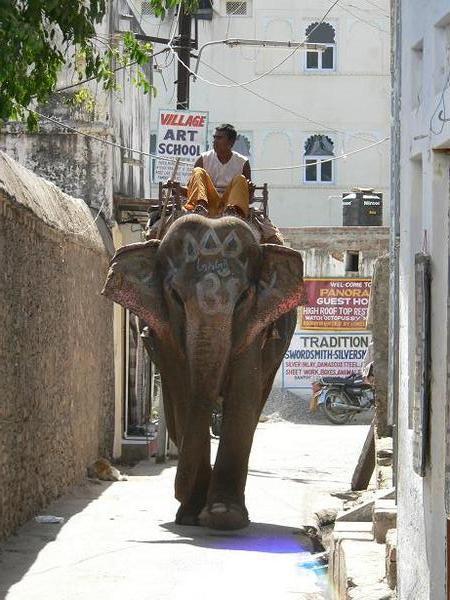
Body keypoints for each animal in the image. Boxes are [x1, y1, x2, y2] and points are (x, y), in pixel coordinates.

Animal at [102, 214, 306, 528]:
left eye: (244, 296)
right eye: (175, 295)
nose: (179, 494)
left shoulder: (254, 327)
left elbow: (244, 391)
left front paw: (223, 515)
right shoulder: (166, 334)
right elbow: (184, 393)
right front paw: (191, 514)